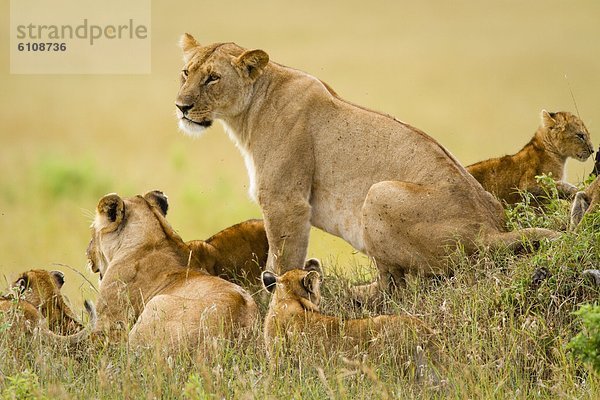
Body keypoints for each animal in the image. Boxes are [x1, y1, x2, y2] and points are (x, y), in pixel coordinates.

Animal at [175, 35, 556, 294]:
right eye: (186, 72)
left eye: (212, 78)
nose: (181, 106)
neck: (249, 111)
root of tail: (491, 230)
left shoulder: (286, 201)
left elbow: (282, 259)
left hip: (378, 193)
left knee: (397, 287)